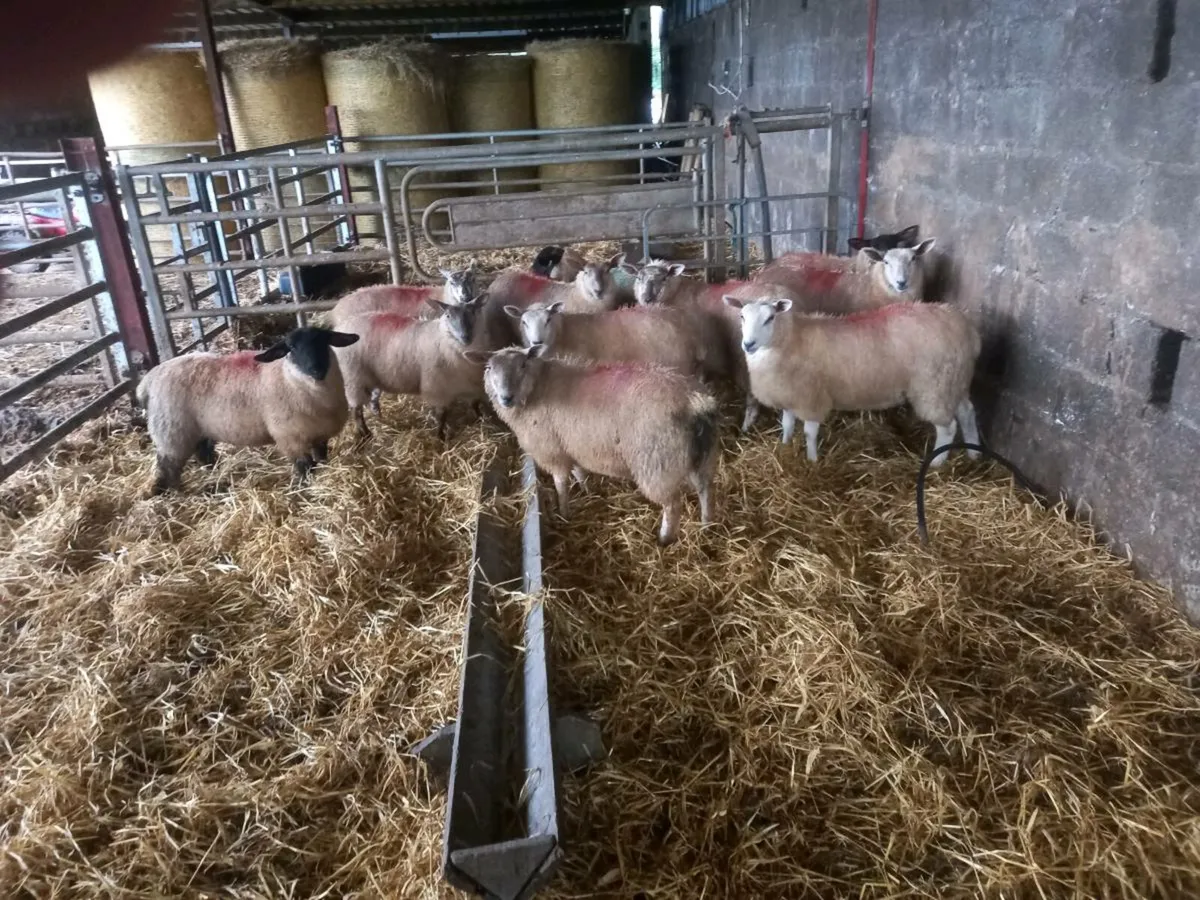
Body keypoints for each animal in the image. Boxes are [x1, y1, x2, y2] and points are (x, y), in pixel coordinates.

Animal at [135, 326, 359, 494]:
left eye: (324, 341)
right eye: (291, 348)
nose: (317, 370)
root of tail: (148, 381)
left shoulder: (319, 435)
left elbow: (321, 459)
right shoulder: (291, 438)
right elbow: (304, 468)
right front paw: (302, 489)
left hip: (197, 431)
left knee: (203, 453)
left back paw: (215, 477)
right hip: (172, 435)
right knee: (167, 469)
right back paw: (178, 493)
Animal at [333, 295, 490, 441]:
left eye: (474, 312)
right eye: (448, 316)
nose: (465, 337)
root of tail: (340, 327)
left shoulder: (471, 386)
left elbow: (475, 404)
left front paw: (482, 419)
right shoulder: (437, 389)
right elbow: (442, 416)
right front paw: (440, 436)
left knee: (371, 401)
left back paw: (378, 417)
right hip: (353, 379)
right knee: (356, 410)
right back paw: (366, 434)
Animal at [480, 344, 720, 544]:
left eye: (522, 365)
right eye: (489, 368)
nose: (506, 397)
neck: (537, 389)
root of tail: (693, 401)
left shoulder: (553, 452)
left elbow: (561, 483)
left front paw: (563, 512)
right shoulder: (572, 446)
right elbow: (579, 472)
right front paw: (587, 491)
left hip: (657, 464)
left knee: (672, 505)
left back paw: (664, 539)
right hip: (701, 456)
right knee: (706, 490)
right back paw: (707, 525)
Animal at [723, 295, 981, 467]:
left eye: (770, 318)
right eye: (742, 316)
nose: (748, 344)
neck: (791, 339)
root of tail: (965, 327)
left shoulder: (812, 398)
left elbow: (809, 433)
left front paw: (812, 461)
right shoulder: (790, 396)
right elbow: (786, 424)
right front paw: (784, 447)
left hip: (934, 387)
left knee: (948, 427)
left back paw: (936, 464)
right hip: (954, 382)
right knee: (967, 413)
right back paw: (974, 454)